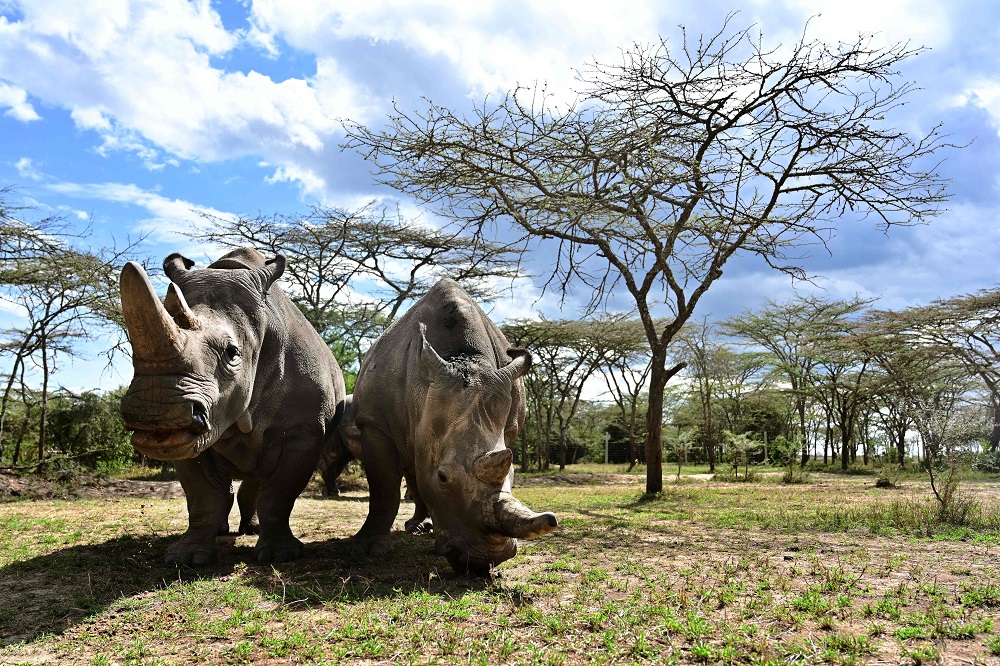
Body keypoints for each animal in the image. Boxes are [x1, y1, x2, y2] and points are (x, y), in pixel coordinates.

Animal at [119, 248, 346, 566]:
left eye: (232, 353)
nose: (156, 411)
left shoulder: (303, 431)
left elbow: (278, 495)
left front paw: (280, 556)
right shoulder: (186, 437)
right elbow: (203, 496)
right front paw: (187, 558)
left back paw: (252, 530)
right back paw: (223, 531)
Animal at [351, 279, 557, 575]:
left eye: (514, 474)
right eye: (442, 477)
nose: (484, 561)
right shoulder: (374, 423)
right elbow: (383, 488)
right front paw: (368, 550)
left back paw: (422, 529)